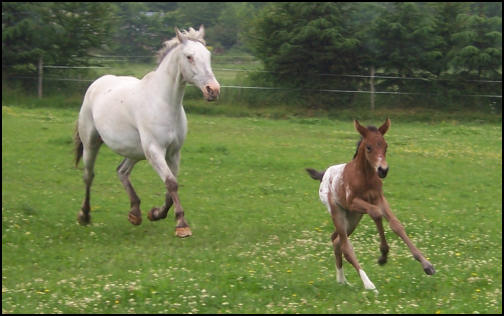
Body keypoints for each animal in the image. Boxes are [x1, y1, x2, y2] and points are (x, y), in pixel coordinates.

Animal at [74, 25, 220, 237]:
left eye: (208, 55)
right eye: (189, 57)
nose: (213, 90)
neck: (164, 102)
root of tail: (96, 83)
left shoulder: (173, 153)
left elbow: (171, 186)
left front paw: (155, 213)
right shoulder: (155, 150)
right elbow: (171, 183)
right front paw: (181, 225)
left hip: (135, 152)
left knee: (122, 171)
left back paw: (135, 213)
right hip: (91, 144)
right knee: (89, 176)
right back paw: (84, 215)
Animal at [306, 118, 436, 292]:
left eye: (386, 146)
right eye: (369, 147)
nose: (383, 170)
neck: (365, 177)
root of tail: (324, 174)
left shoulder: (379, 199)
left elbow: (396, 225)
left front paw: (427, 265)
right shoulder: (354, 202)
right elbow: (376, 213)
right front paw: (383, 255)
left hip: (353, 219)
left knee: (336, 240)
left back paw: (342, 280)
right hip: (338, 212)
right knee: (345, 246)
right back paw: (368, 284)